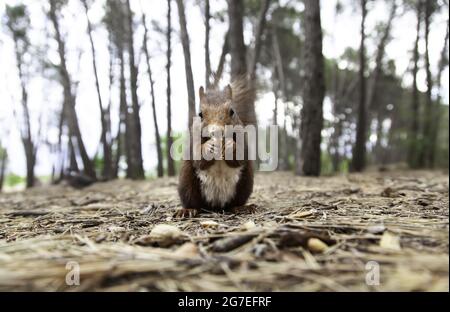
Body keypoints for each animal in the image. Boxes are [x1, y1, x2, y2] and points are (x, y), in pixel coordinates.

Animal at [175, 79, 255, 218]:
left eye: (232, 111)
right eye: (200, 114)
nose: (216, 131)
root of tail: (216, 206)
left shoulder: (242, 137)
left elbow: (240, 155)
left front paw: (230, 146)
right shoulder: (193, 140)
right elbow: (198, 158)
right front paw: (208, 147)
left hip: (246, 182)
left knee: (236, 202)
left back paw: (242, 207)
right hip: (186, 181)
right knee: (192, 201)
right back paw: (188, 210)